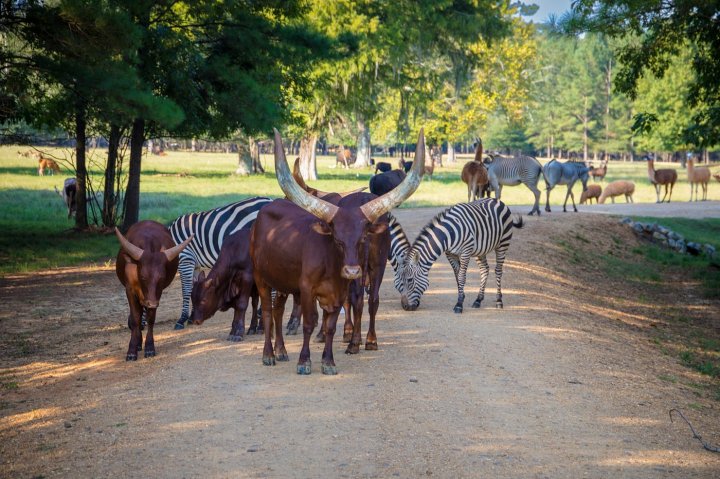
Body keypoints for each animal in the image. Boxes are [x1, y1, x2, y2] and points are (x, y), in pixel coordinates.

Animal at [114, 221, 191, 360]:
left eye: (162, 278)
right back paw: (138, 343)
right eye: (143, 276)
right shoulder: (130, 291)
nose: (152, 303)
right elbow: (135, 319)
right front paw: (132, 350)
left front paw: (149, 347)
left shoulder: (156, 295)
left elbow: (150, 319)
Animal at [169, 196, 272, 330]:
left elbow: (185, 290)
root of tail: (270, 200)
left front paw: (182, 319)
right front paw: (191, 316)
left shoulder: (185, 258)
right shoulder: (195, 264)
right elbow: (193, 286)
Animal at [250, 130, 424, 376]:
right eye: (337, 240)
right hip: (261, 277)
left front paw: (328, 359)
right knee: (267, 312)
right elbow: (310, 321)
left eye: (361, 238)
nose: (351, 270)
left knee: (277, 310)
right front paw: (305, 361)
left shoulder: (338, 290)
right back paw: (270, 354)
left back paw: (285, 351)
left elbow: (331, 322)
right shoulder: (306, 288)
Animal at [390, 199, 520, 316]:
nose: (405, 307)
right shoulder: (450, 254)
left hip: (503, 243)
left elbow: (462, 277)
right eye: (398, 282)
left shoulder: (465, 252)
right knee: (484, 269)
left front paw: (459, 305)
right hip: (480, 249)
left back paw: (499, 301)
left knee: (498, 270)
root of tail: (498, 200)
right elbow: (457, 276)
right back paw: (478, 300)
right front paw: (461, 297)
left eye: (410, 280)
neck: (449, 233)